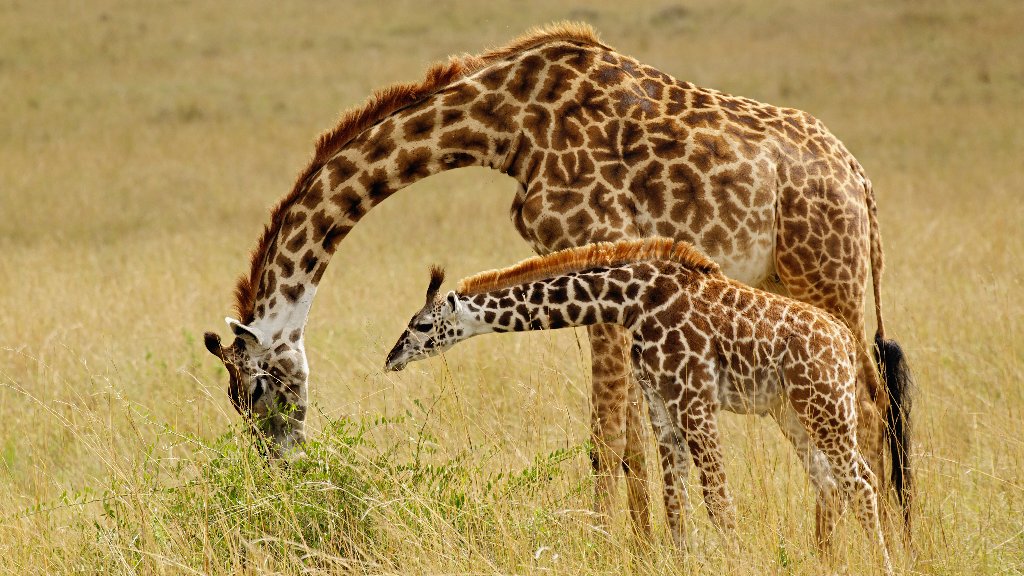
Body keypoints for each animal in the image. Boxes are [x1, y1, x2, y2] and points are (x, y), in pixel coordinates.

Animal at [201, 22, 913, 538]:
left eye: (256, 392)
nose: (283, 472)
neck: (503, 125)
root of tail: (860, 181)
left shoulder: (598, 254)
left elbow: (607, 439)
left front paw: (614, 549)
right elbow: (632, 441)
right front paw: (647, 546)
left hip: (830, 277)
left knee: (871, 405)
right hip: (794, 284)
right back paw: (833, 547)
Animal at [383, 238, 901, 574]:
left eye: (424, 325)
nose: (391, 359)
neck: (632, 301)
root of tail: (842, 340)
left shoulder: (694, 399)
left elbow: (718, 499)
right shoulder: (662, 406)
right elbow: (676, 501)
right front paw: (683, 562)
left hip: (826, 406)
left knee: (862, 480)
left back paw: (884, 564)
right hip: (792, 411)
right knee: (830, 482)